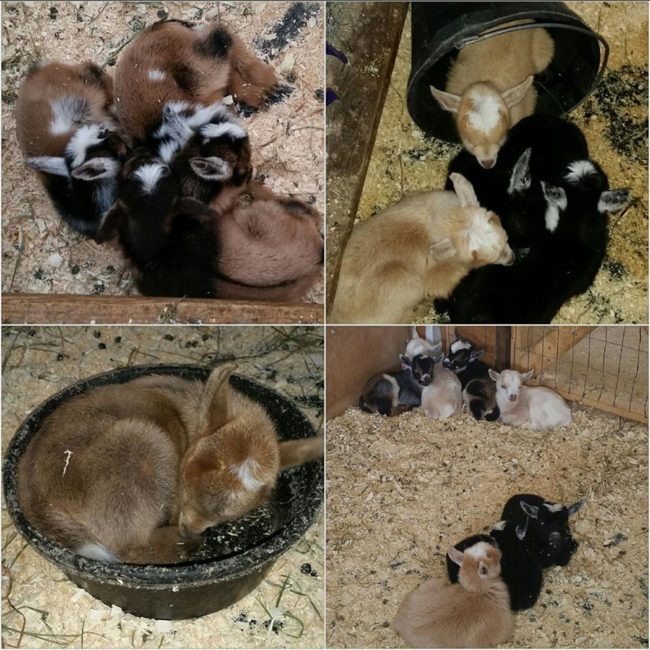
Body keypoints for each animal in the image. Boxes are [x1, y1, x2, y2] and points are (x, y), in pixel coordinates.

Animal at [17, 364, 323, 564]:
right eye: (185, 479)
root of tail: (42, 504)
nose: (188, 529)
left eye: (227, 516)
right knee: (132, 549)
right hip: (144, 447)